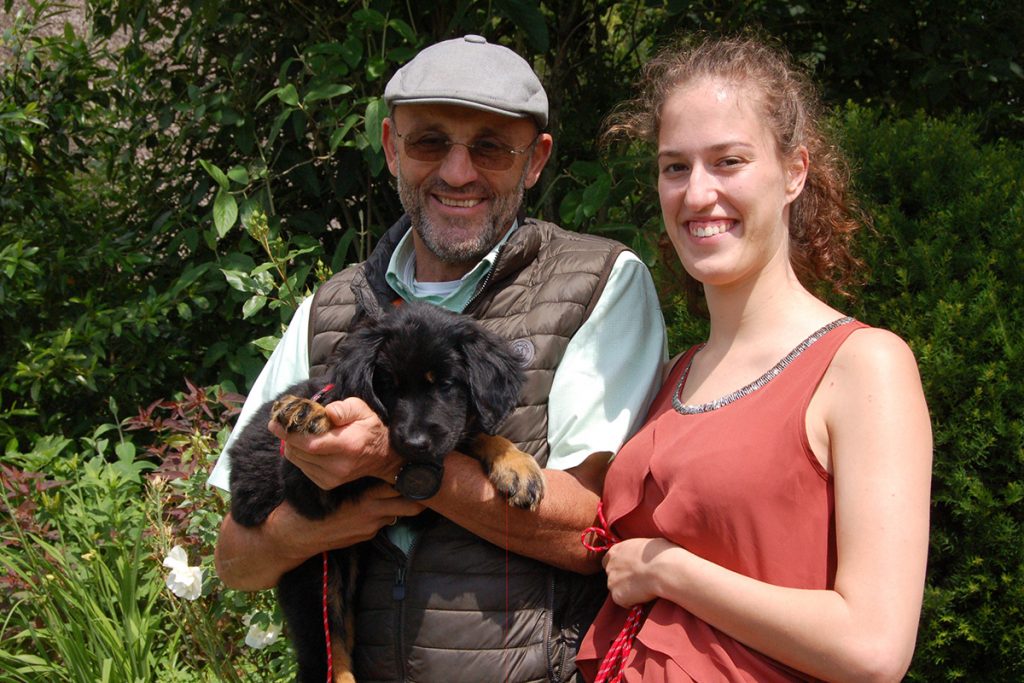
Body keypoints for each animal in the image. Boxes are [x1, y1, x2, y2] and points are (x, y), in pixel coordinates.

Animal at [227, 302, 546, 683]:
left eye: (446, 384)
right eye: (388, 386)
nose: (413, 443)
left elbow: (472, 436)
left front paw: (516, 464)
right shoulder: (307, 487)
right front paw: (314, 409)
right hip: (313, 572)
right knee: (328, 648)